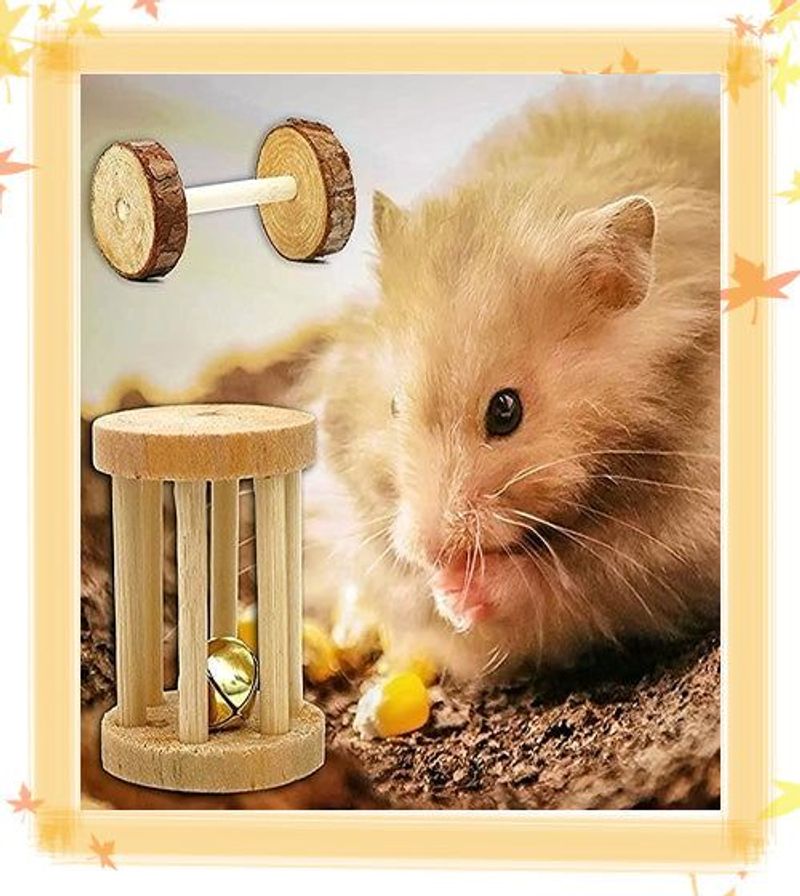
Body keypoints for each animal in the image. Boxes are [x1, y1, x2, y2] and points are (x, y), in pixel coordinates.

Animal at [300, 85, 720, 681]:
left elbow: (562, 581)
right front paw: (440, 592)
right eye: (394, 406)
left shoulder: (672, 541)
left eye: (506, 411)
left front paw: (462, 591)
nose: (434, 550)